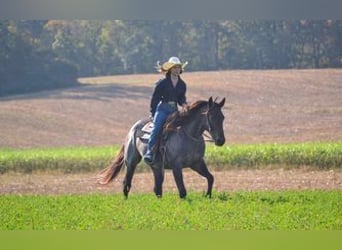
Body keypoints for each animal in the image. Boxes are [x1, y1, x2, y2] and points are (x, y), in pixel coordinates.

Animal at [97, 96, 226, 198]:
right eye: (211, 116)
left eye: (222, 117)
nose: (221, 141)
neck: (188, 135)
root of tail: (133, 128)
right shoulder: (176, 166)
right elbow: (182, 191)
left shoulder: (197, 163)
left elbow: (210, 178)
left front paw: (208, 196)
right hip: (131, 162)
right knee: (126, 183)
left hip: (157, 167)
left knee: (157, 188)